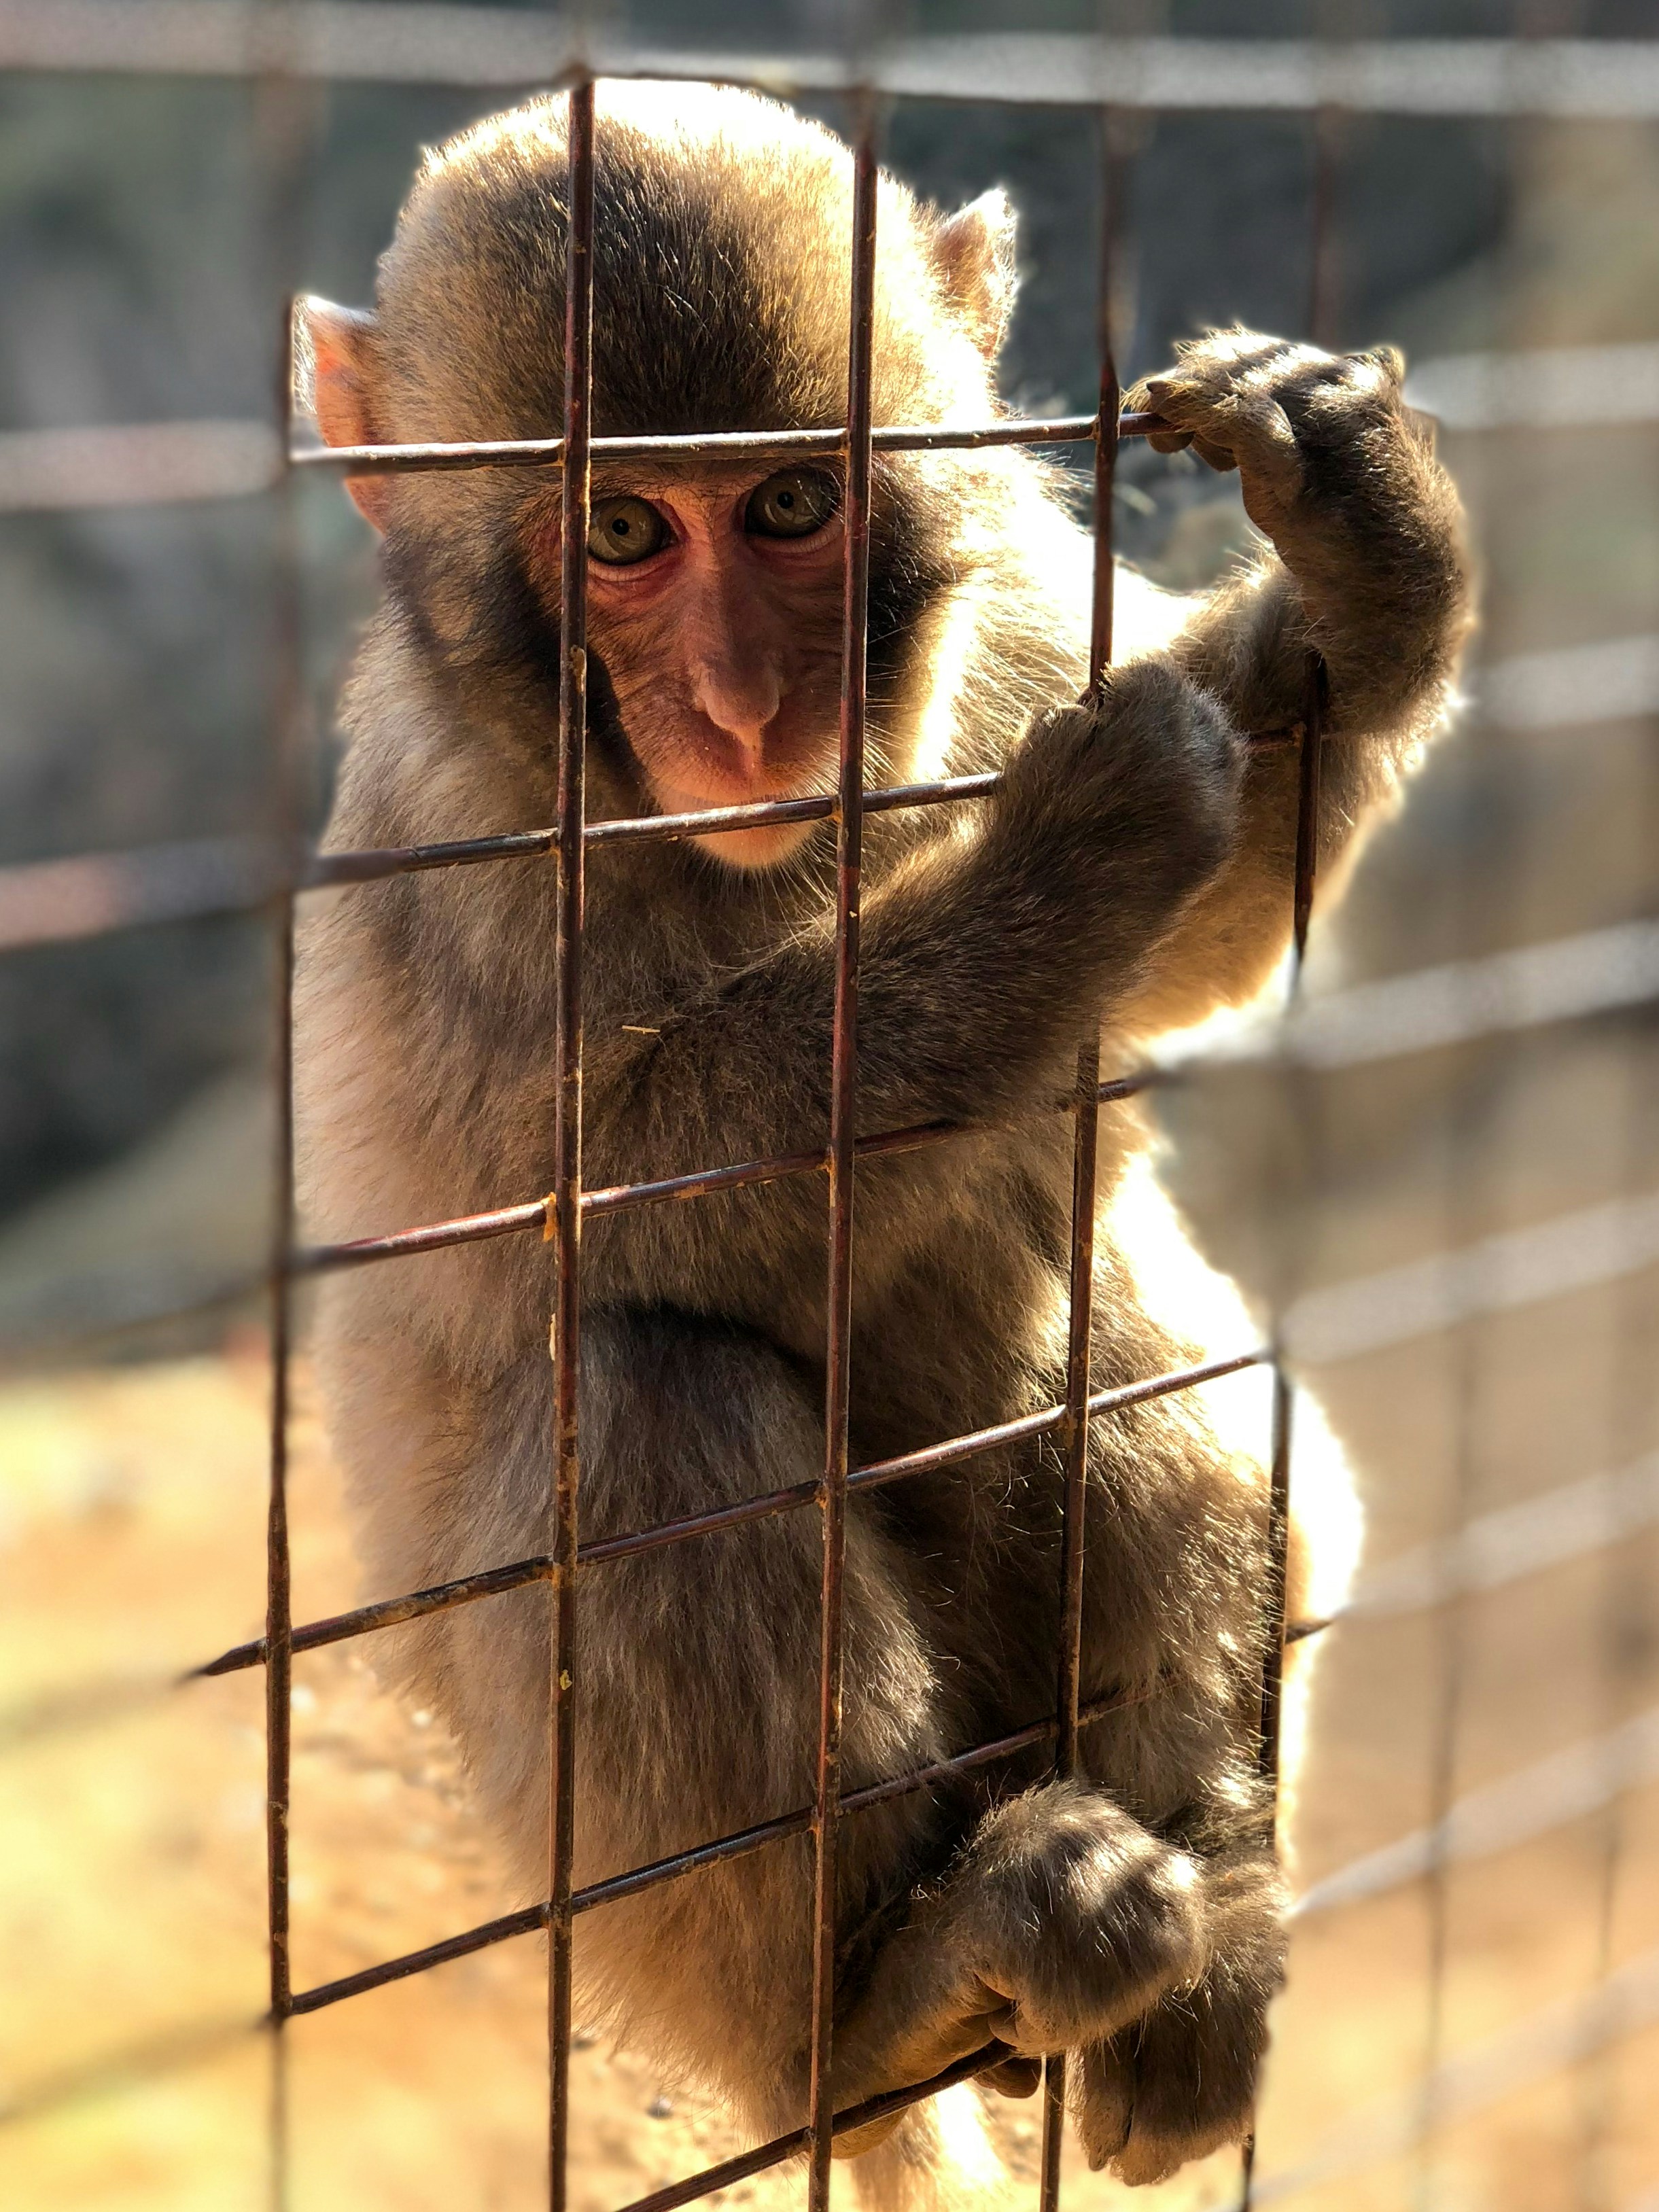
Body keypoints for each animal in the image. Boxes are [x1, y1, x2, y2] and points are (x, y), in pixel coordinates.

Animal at [294, 81, 1467, 2205]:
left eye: (786, 508)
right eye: (620, 529)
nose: (743, 707)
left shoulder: (1016, 611)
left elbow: (1202, 948)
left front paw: (1369, 549)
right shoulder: (459, 848)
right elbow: (589, 1213)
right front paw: (1067, 857)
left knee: (1134, 1338)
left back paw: (1212, 1889)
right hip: (582, 1872)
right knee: (645, 1403)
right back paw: (882, 2003)